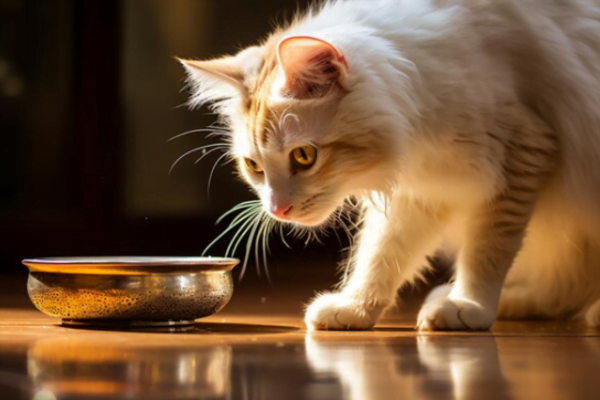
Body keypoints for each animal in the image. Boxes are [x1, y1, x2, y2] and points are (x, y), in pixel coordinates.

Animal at [179, 0, 600, 330]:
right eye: (254, 165)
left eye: (303, 156)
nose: (277, 208)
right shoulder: (425, 185)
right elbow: (383, 253)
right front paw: (356, 307)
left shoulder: (521, 151)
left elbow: (486, 250)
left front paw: (470, 306)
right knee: (562, 285)